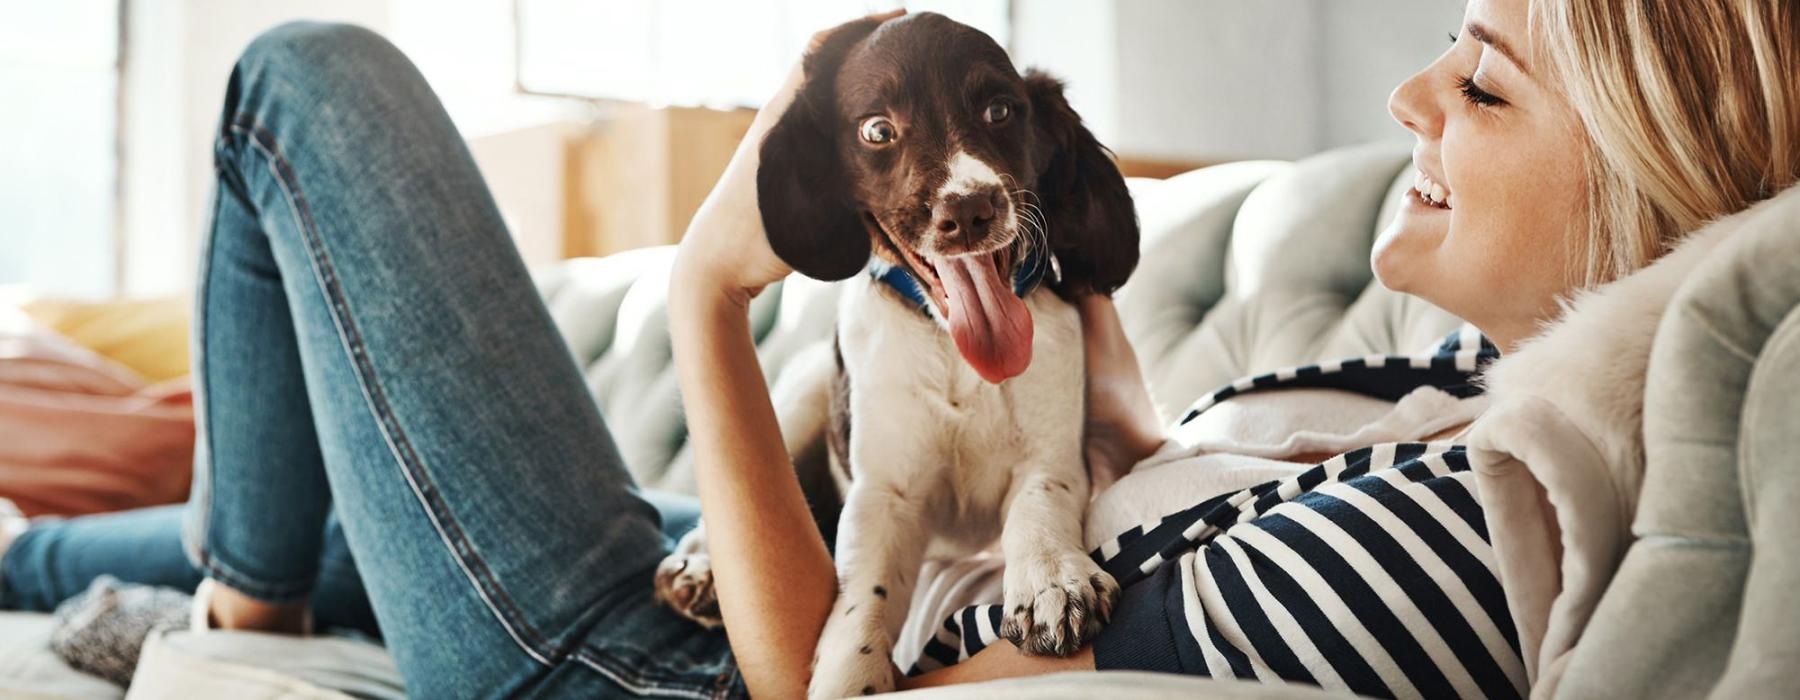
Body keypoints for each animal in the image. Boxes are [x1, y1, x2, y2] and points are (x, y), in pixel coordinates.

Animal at [662, 13, 1137, 694]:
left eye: (1000, 110)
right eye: (877, 130)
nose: (969, 208)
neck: (952, 347)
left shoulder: (1053, 459)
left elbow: (1038, 506)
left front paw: (1051, 577)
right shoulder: (884, 496)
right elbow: (863, 599)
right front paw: (850, 675)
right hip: (802, 390)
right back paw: (697, 565)